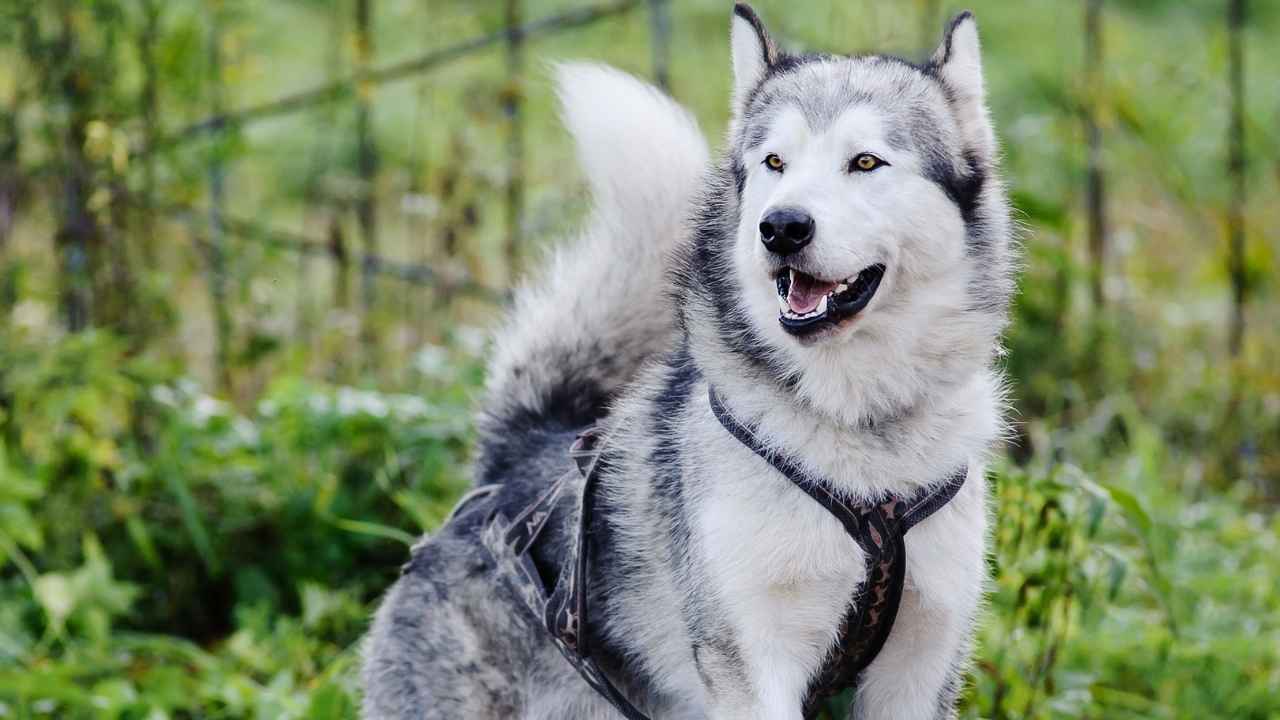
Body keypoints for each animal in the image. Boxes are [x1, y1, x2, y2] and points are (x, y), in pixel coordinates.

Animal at [360, 5, 1008, 717]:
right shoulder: (754, 662)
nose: (782, 227)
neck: (863, 446)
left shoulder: (921, 664)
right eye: (774, 162)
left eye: (865, 161)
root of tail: (510, 466)